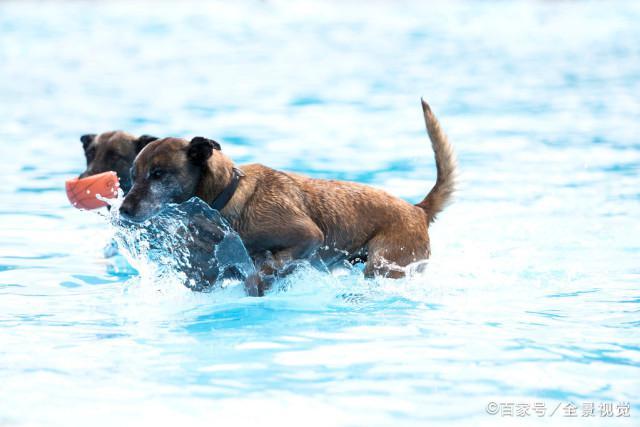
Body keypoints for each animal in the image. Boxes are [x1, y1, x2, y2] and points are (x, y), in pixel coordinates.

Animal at [120, 98, 458, 282]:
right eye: (133, 176)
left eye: (158, 175)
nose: (123, 209)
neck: (228, 195)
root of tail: (417, 209)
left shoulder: (308, 236)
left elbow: (271, 264)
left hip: (384, 264)